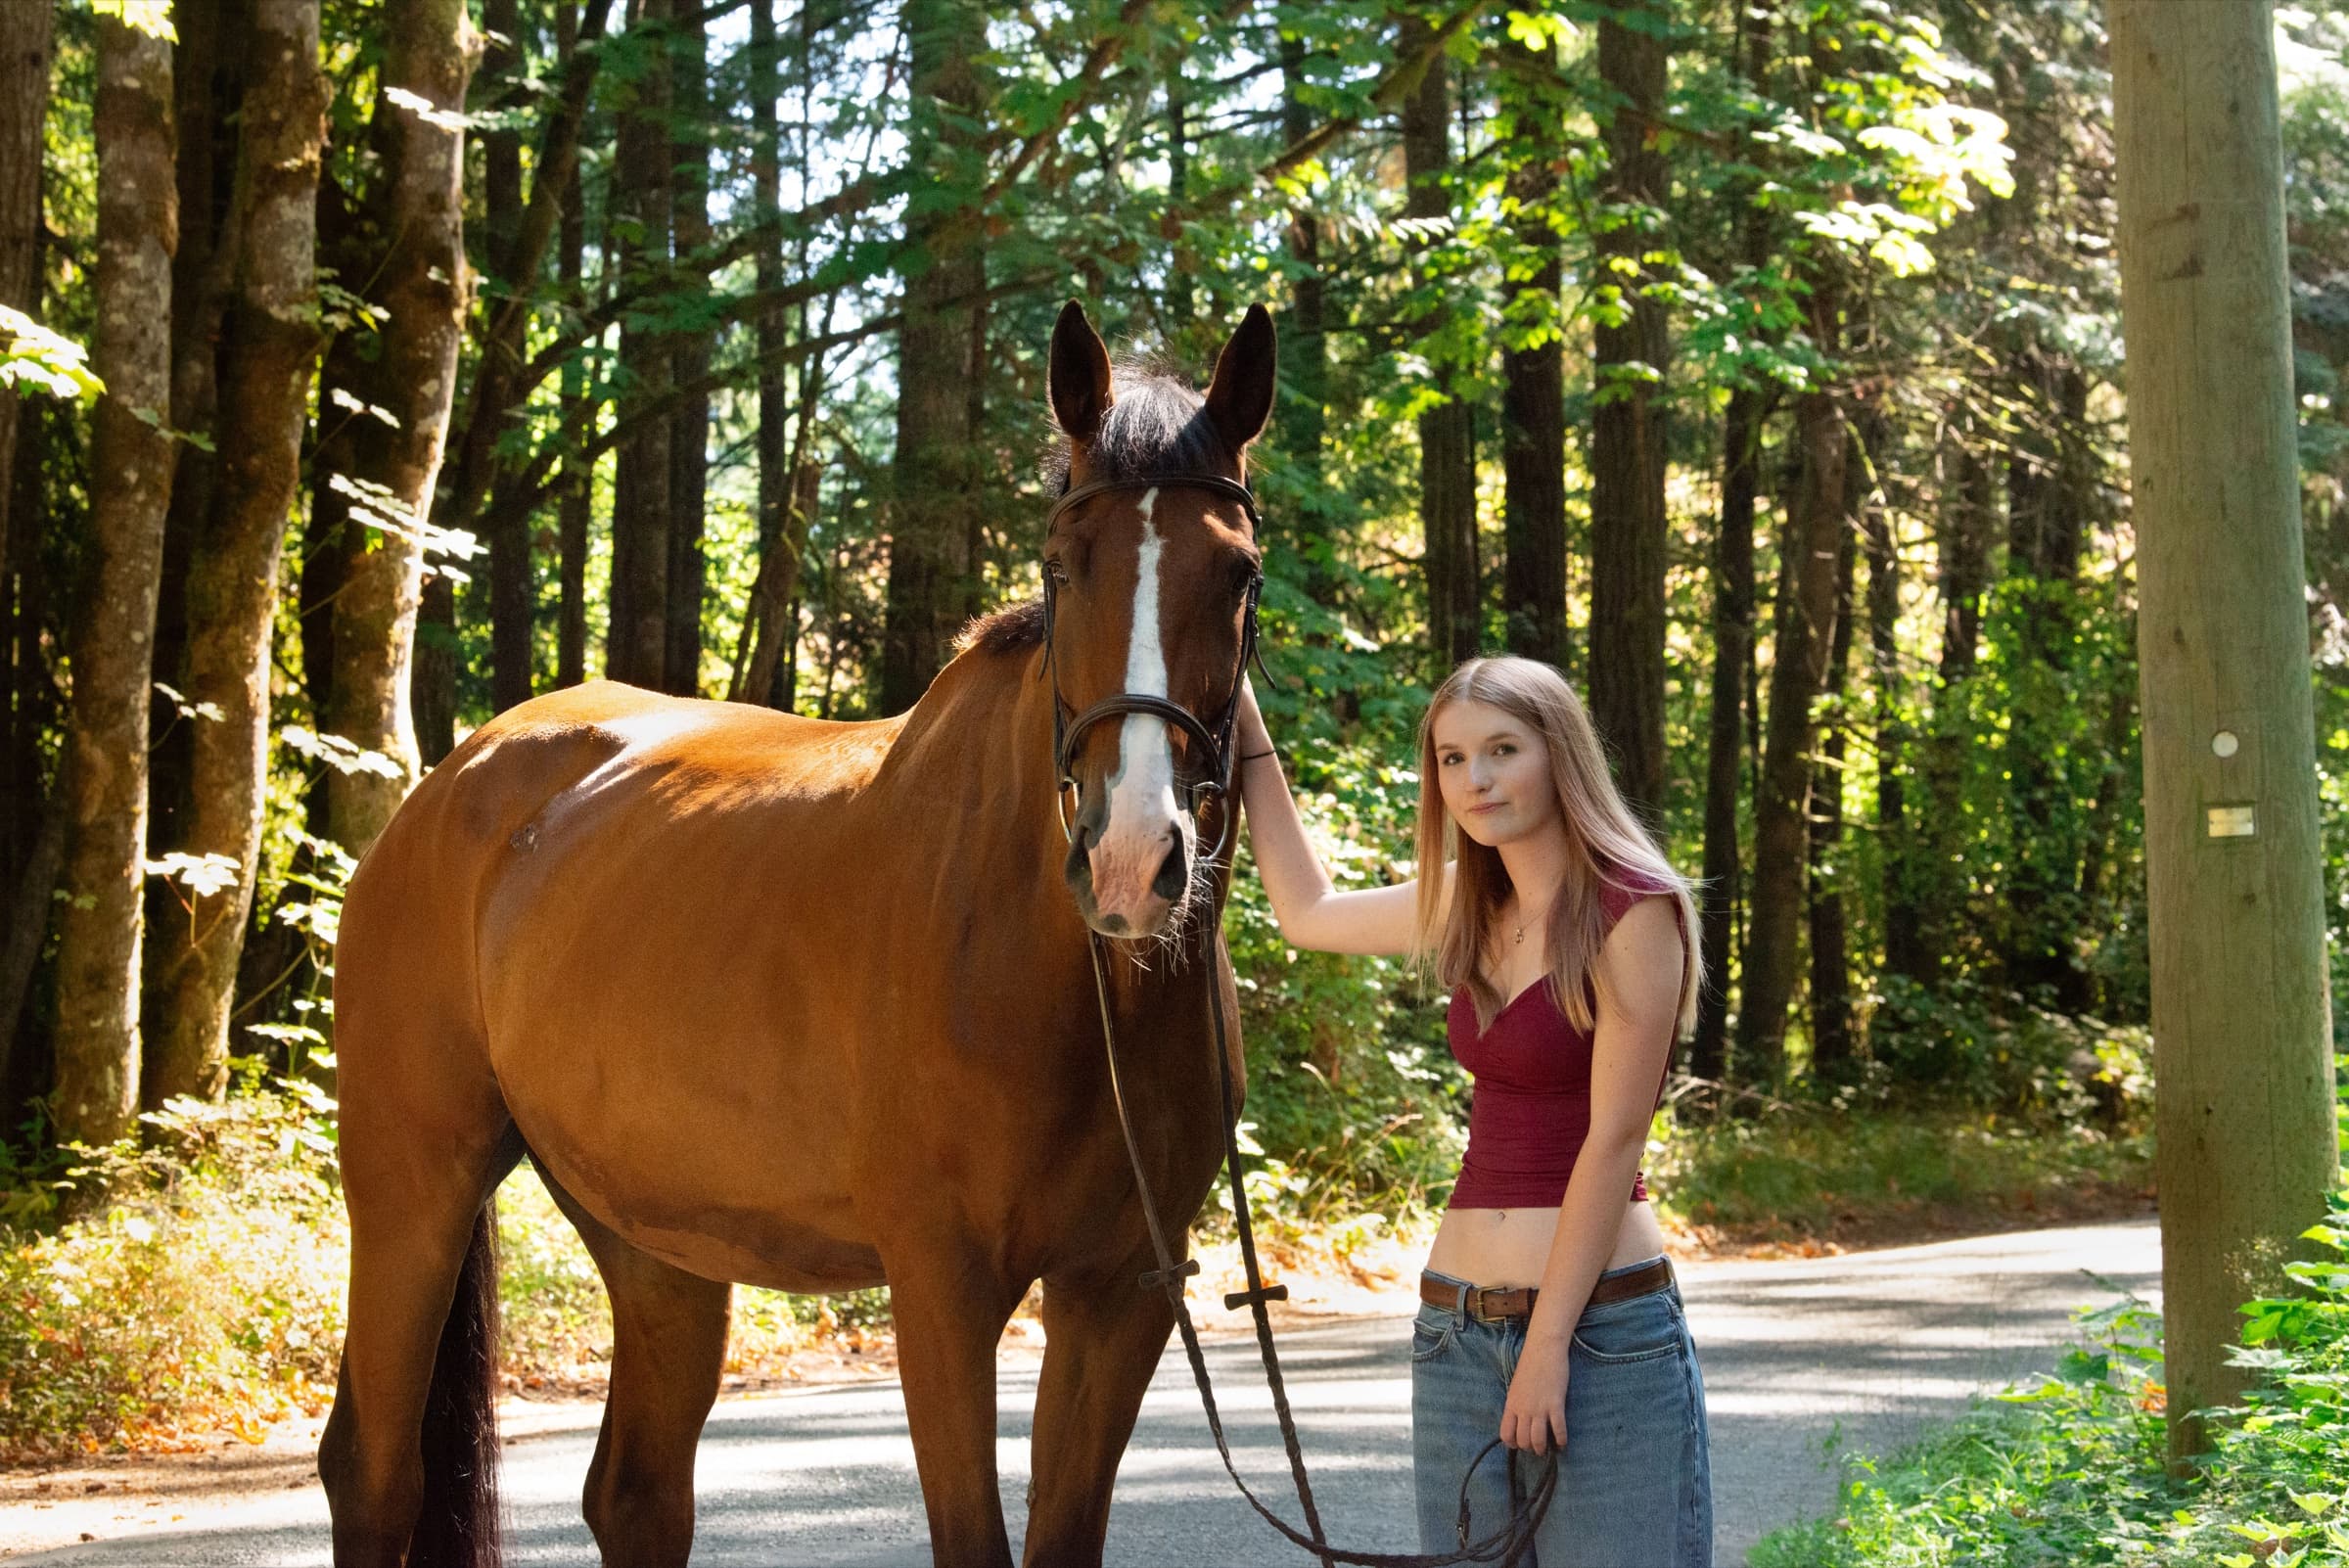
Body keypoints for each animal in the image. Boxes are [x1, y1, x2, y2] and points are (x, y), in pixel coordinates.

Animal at [317, 299, 1279, 1568]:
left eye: (1239, 573)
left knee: (636, 1496)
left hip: (654, 1235)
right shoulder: (940, 1289)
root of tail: (449, 782)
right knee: (374, 1476)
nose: (1130, 858)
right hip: (411, 1189)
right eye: (1063, 567)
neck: (1062, 981)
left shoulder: (1120, 1295)